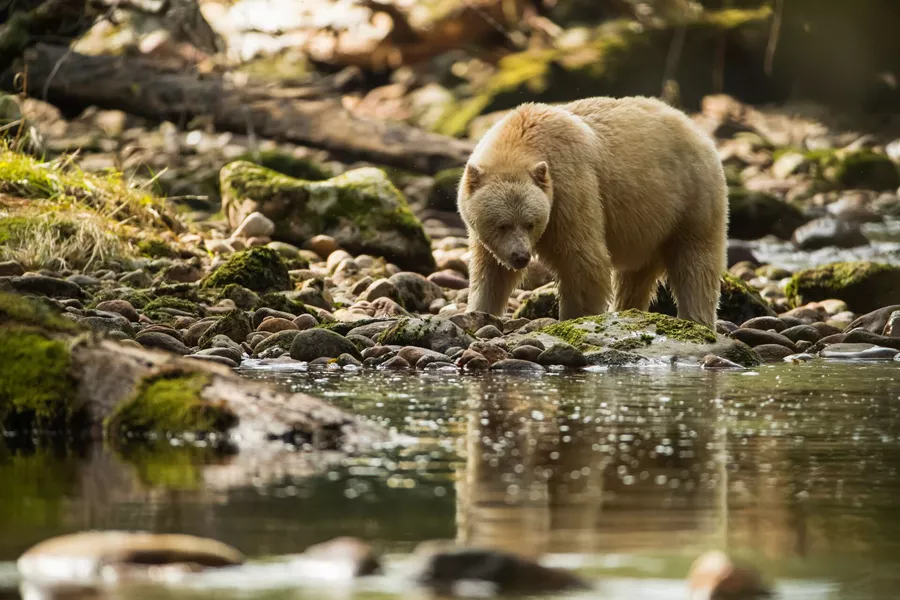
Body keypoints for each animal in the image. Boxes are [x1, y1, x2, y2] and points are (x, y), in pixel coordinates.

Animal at [457, 95, 728, 329]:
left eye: (530, 223)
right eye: (501, 224)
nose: (521, 256)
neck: (518, 142)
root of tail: (695, 128)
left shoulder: (570, 190)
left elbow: (584, 262)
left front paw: (573, 319)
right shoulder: (488, 237)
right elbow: (491, 273)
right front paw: (479, 312)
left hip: (693, 199)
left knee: (695, 263)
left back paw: (697, 320)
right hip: (650, 224)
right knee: (635, 276)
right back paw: (627, 310)